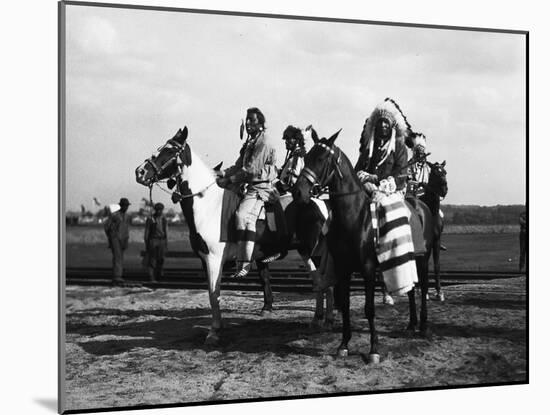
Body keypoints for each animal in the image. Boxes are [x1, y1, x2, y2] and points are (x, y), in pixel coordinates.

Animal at [294, 131, 436, 364]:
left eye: (321, 159)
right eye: (306, 158)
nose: (298, 192)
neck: (355, 217)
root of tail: (420, 205)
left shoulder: (368, 268)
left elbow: (369, 309)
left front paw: (374, 350)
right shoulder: (343, 268)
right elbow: (344, 306)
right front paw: (343, 345)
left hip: (423, 259)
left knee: (422, 287)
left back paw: (423, 326)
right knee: (410, 290)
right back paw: (411, 324)